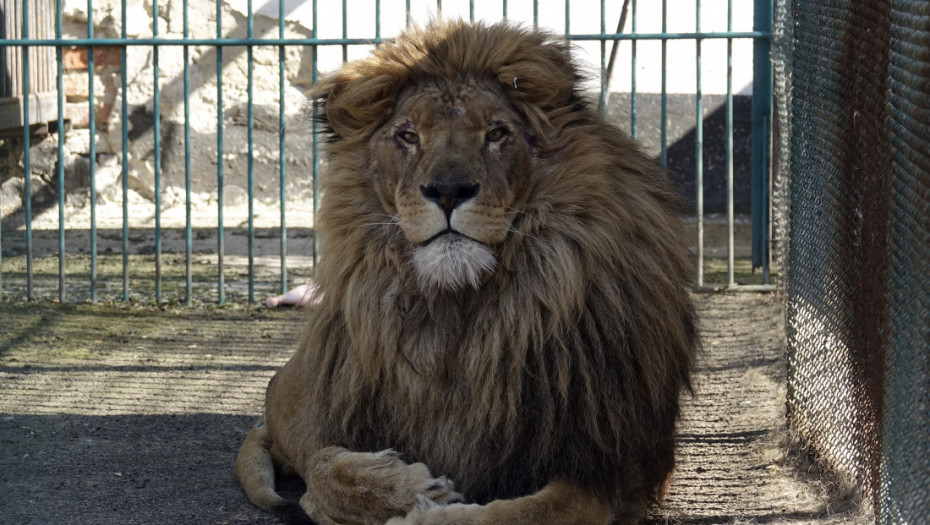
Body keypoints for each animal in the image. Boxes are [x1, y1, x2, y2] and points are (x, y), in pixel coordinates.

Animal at [239, 20, 696, 524]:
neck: (463, 310)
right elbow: (323, 469)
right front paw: (404, 488)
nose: (448, 190)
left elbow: (514, 514)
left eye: (497, 133)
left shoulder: (608, 470)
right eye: (408, 136)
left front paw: (423, 514)